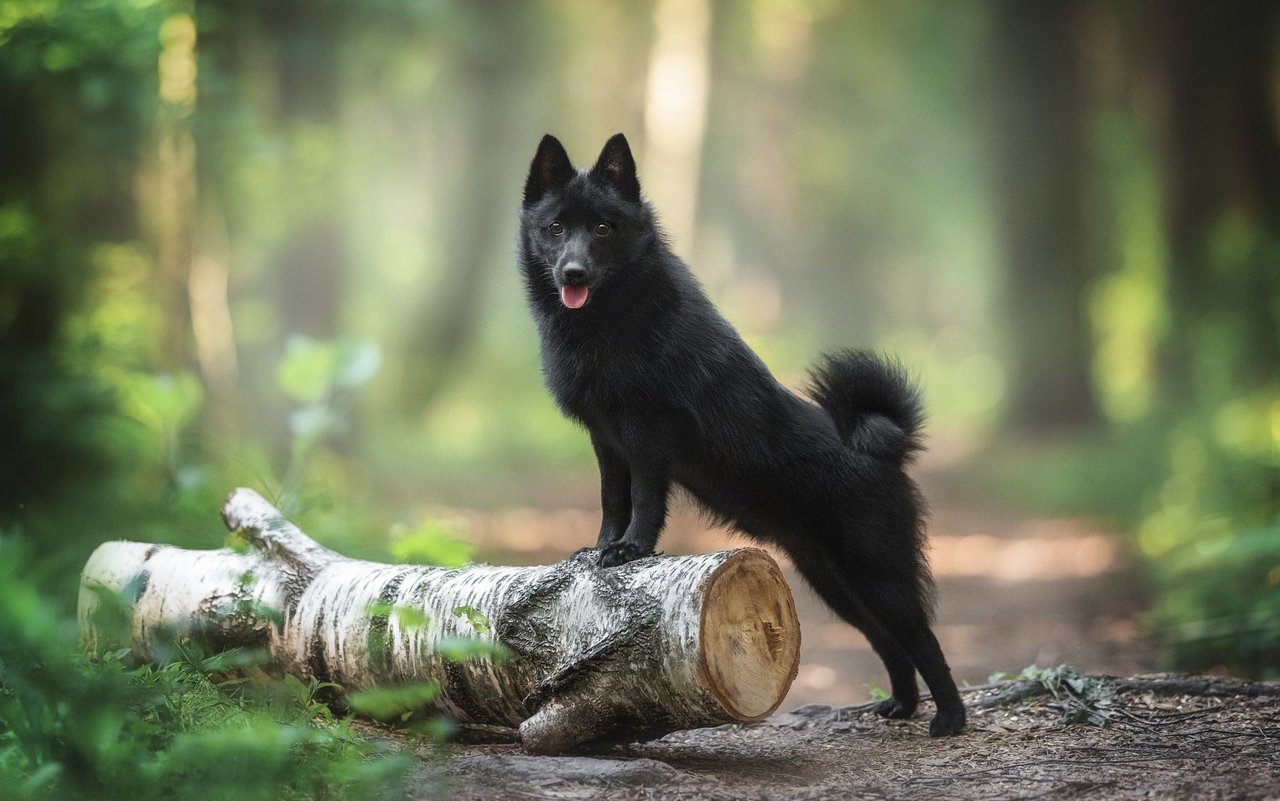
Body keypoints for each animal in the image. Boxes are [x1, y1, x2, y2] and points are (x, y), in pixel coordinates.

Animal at [514, 132, 962, 737]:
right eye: (557, 227)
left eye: (603, 228)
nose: (574, 273)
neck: (612, 320)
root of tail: (879, 450)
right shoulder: (606, 440)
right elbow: (613, 498)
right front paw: (602, 547)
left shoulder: (648, 433)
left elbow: (645, 500)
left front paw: (632, 550)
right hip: (836, 584)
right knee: (888, 642)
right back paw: (902, 705)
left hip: (879, 575)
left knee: (923, 638)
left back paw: (951, 718)